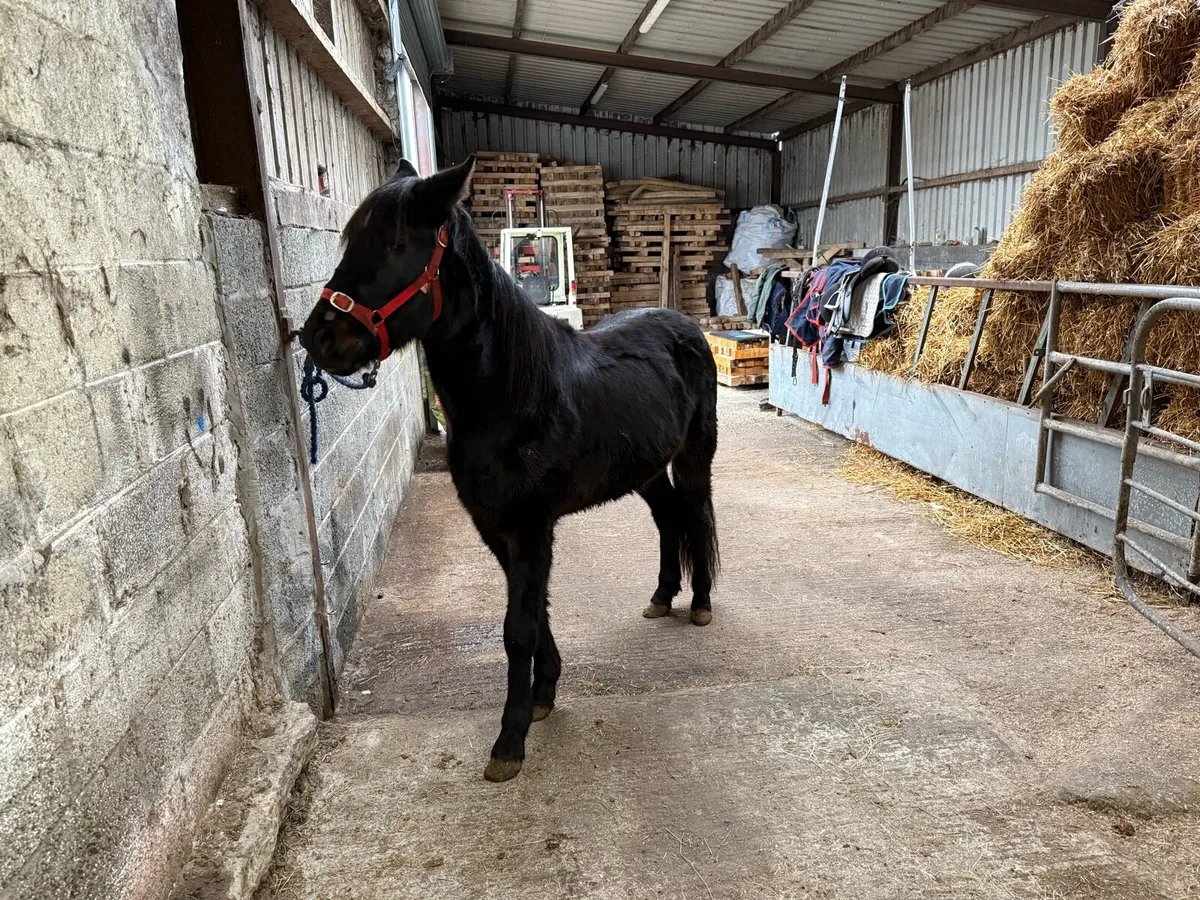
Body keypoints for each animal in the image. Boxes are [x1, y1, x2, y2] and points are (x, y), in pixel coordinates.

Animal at [299, 155, 720, 782]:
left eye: (396, 242)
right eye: (351, 238)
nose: (318, 337)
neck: (512, 396)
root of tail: (686, 325)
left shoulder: (529, 529)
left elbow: (517, 629)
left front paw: (510, 741)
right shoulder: (496, 528)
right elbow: (534, 613)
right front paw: (544, 694)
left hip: (694, 455)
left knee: (695, 516)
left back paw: (700, 605)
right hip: (643, 472)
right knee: (669, 520)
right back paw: (663, 595)